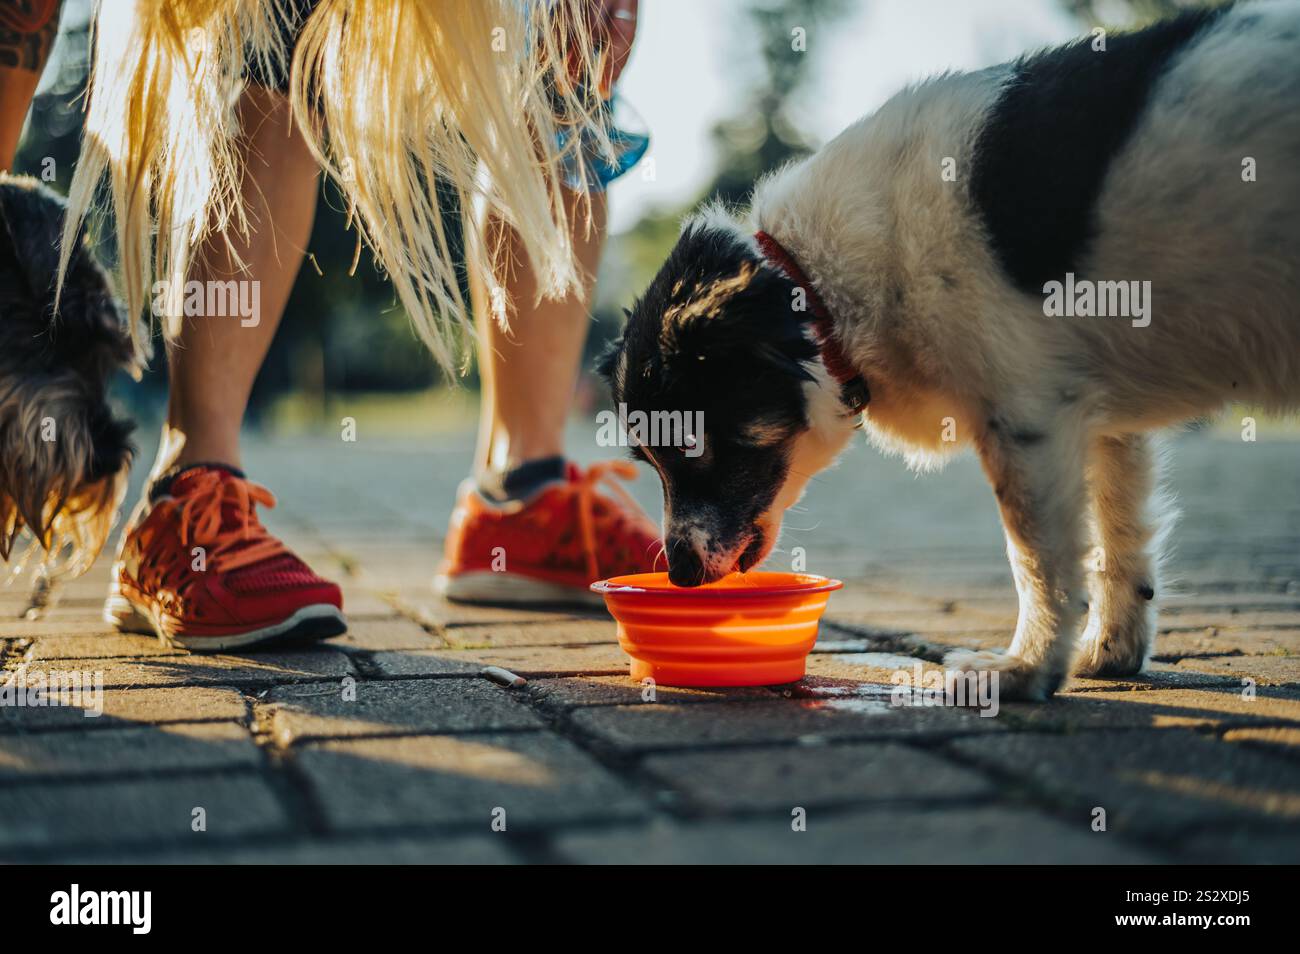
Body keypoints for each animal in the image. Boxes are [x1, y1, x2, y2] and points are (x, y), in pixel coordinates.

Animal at [600, 1, 1300, 701]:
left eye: (692, 445)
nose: (679, 574)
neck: (820, 280)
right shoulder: (1104, 422)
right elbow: (1119, 538)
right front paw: (1111, 651)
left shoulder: (1024, 412)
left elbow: (1039, 558)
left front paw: (1026, 670)